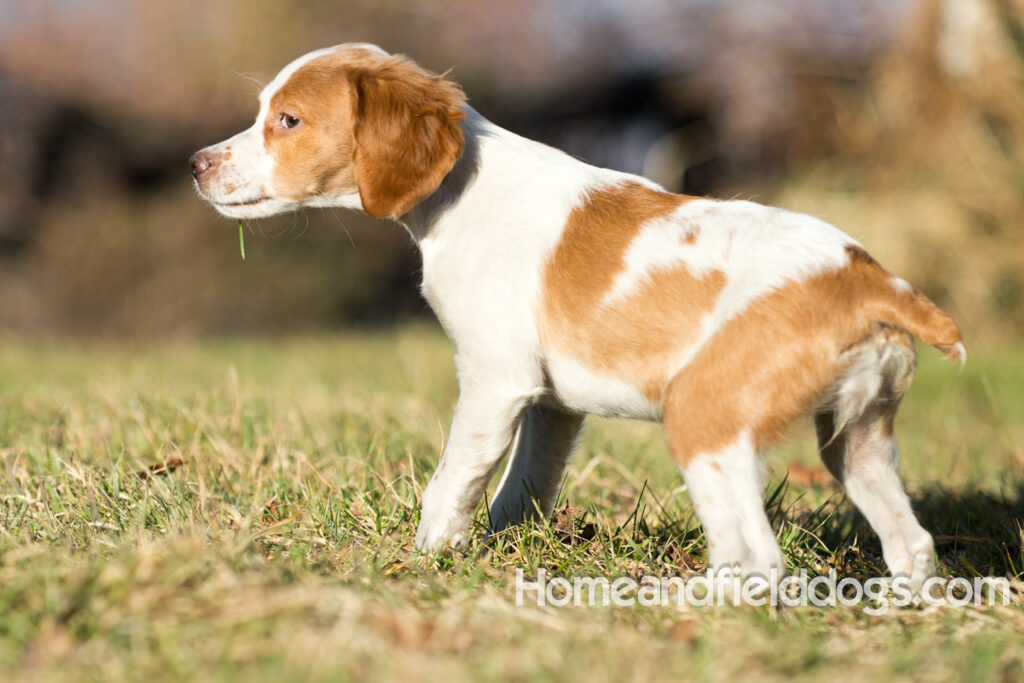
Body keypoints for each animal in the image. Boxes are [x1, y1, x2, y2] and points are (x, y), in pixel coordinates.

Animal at [190, 44, 958, 593]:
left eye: (288, 121)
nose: (196, 164)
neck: (462, 190)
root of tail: (867, 278)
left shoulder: (494, 382)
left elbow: (452, 481)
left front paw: (426, 558)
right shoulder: (550, 404)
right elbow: (521, 486)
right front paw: (499, 551)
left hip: (705, 418)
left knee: (760, 557)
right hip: (858, 438)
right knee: (911, 541)